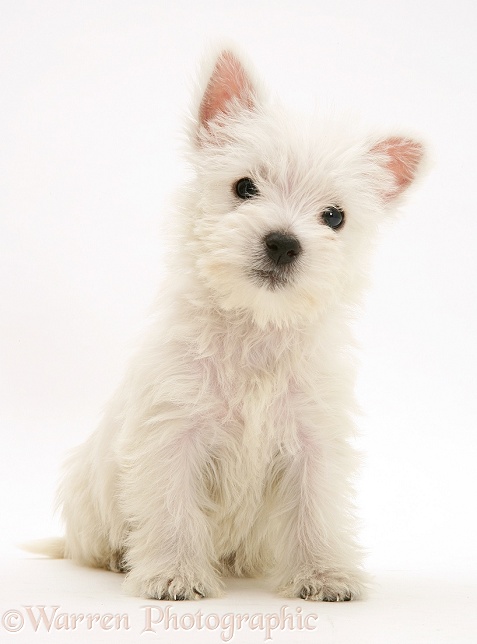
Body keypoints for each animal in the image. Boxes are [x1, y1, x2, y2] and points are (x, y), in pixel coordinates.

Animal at [35, 47, 426, 600]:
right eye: (245, 187)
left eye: (334, 216)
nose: (283, 243)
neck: (255, 327)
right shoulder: (172, 434)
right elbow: (172, 510)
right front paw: (175, 575)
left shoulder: (313, 443)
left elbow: (316, 513)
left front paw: (324, 575)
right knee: (91, 544)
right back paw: (118, 558)